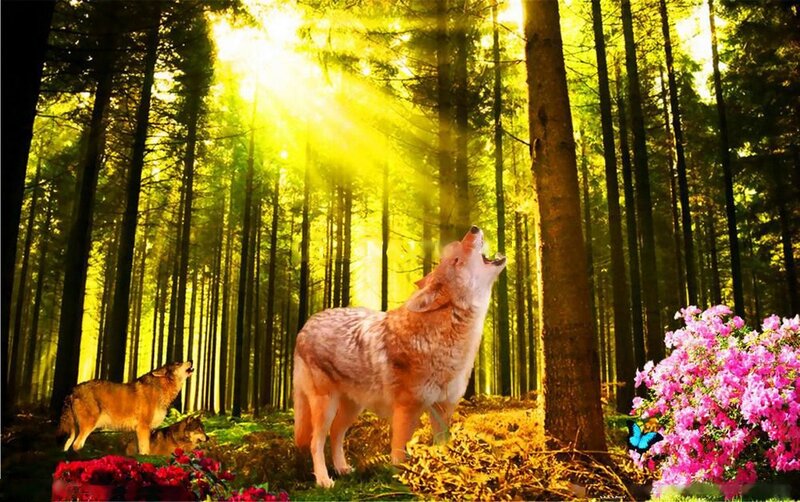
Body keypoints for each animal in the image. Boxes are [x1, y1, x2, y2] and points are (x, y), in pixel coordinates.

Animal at [58, 361, 194, 454]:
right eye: (178, 363)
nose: (191, 360)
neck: (160, 389)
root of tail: (74, 390)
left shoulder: (140, 431)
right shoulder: (143, 428)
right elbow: (146, 452)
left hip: (77, 429)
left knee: (69, 445)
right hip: (88, 426)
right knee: (76, 445)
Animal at [293, 226, 506, 487]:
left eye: (455, 251)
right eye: (456, 258)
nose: (474, 229)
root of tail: (305, 325)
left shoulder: (443, 410)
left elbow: (443, 447)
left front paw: (446, 476)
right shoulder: (406, 410)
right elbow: (399, 454)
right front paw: (402, 482)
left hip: (351, 409)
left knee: (335, 434)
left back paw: (343, 469)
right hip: (326, 406)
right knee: (316, 441)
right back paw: (324, 481)